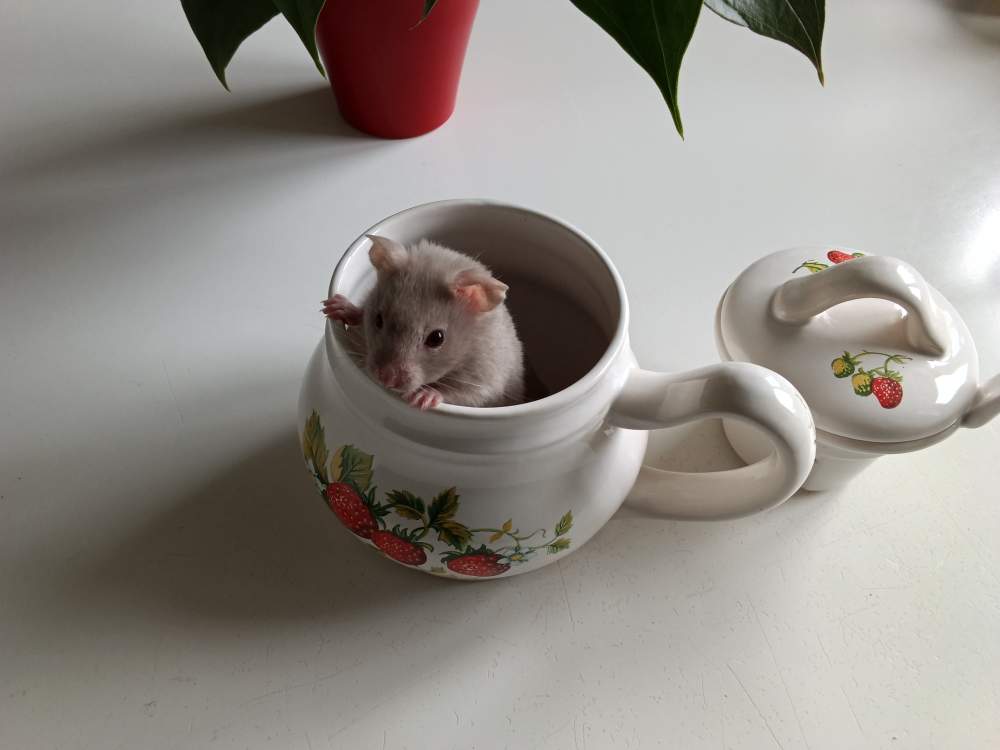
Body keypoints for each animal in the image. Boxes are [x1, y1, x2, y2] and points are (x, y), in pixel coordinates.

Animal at [322, 235, 525, 410]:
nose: (385, 380)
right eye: (378, 320)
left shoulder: (485, 378)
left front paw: (421, 398)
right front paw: (335, 306)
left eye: (437, 338)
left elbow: (466, 393)